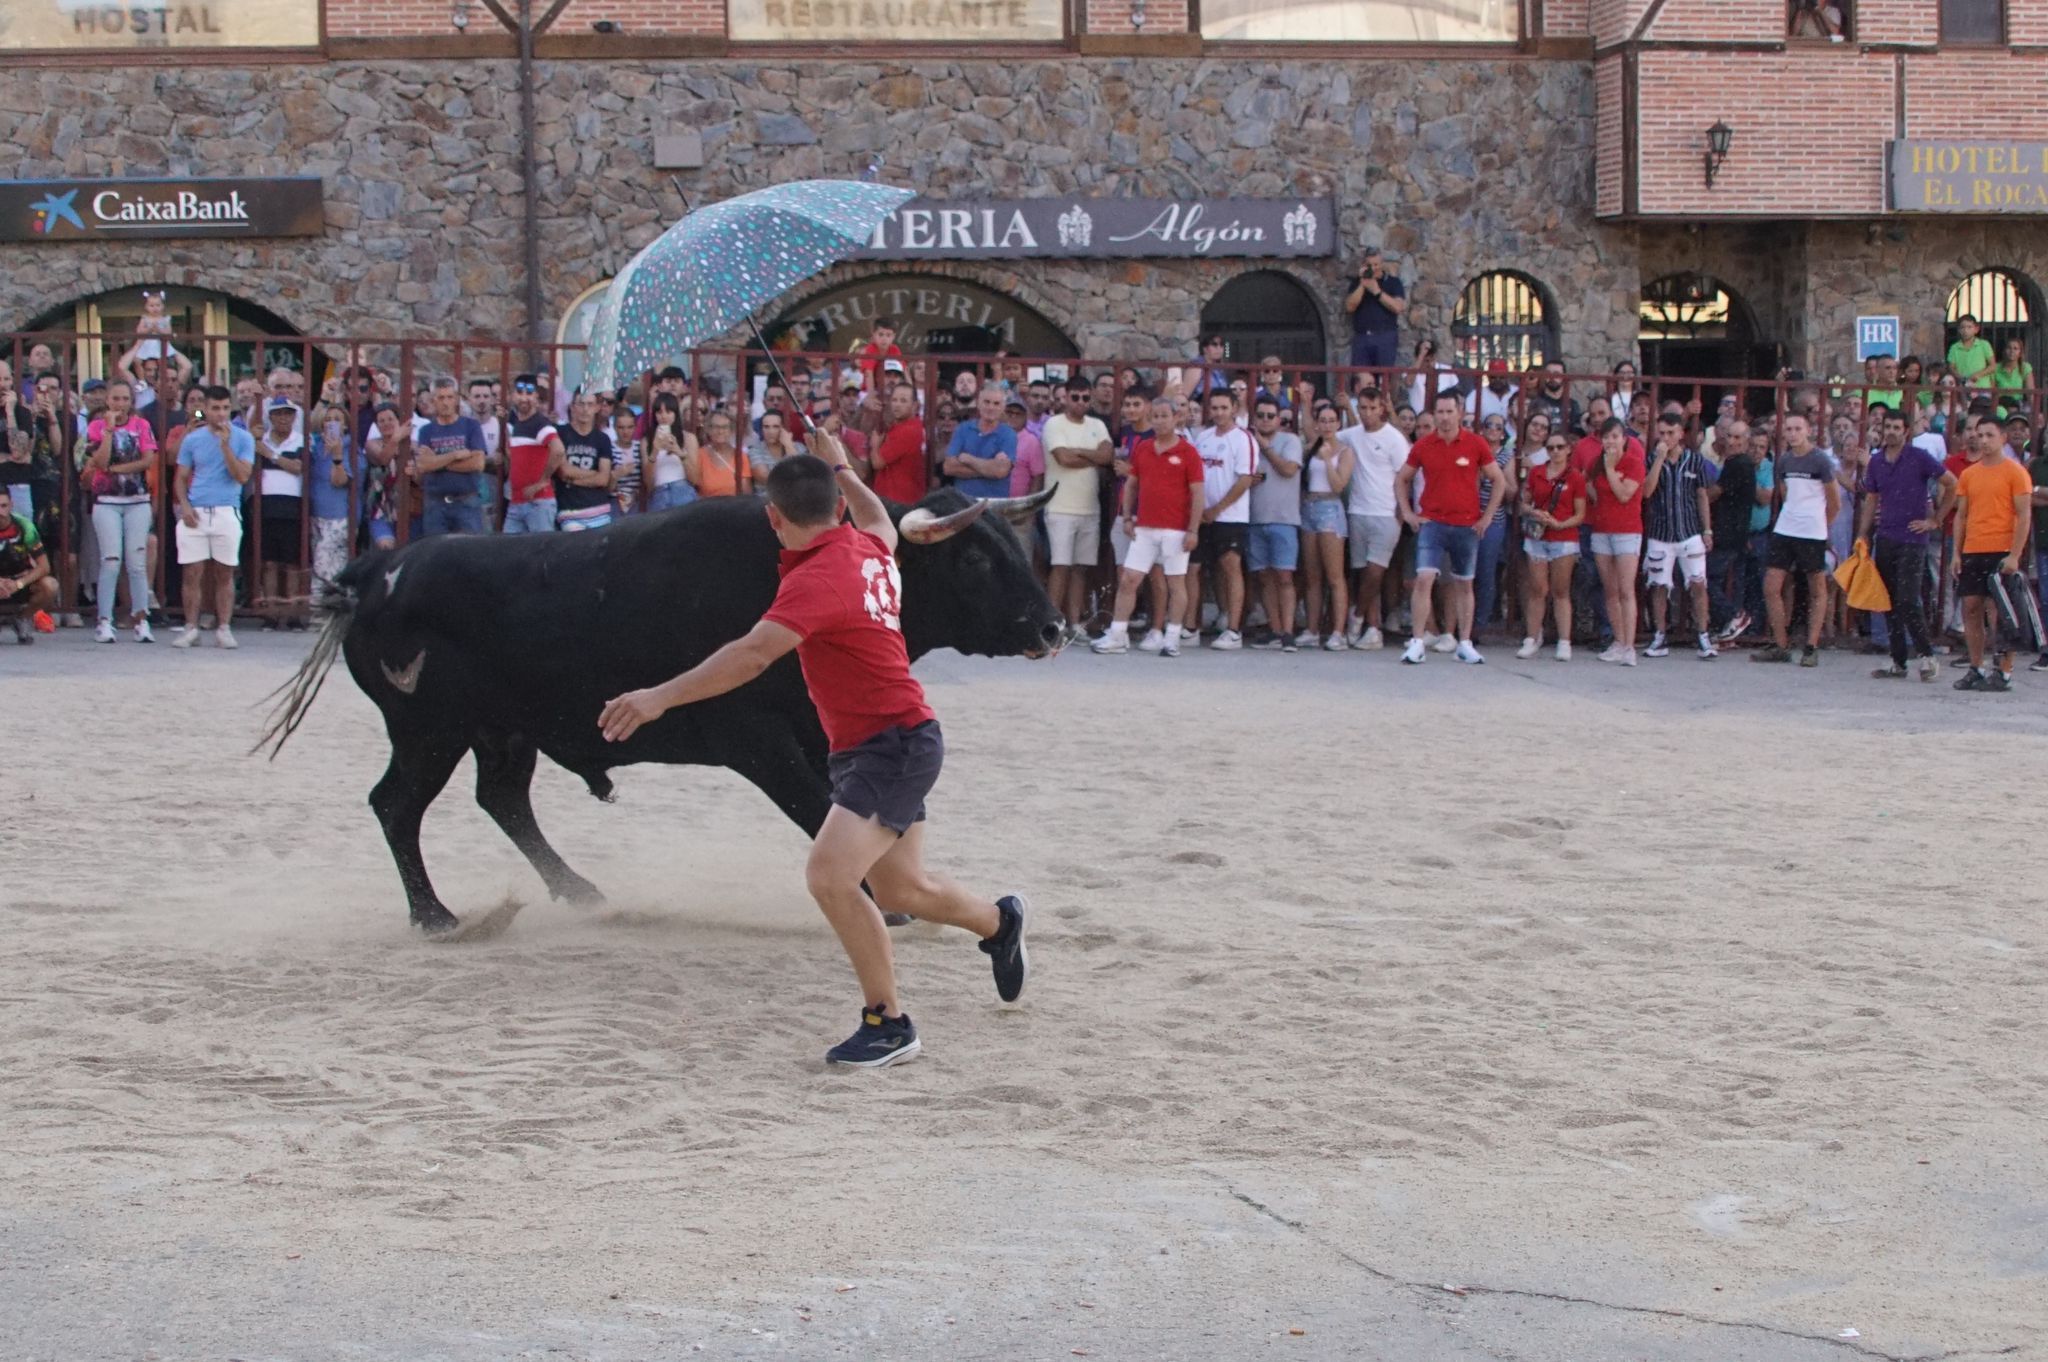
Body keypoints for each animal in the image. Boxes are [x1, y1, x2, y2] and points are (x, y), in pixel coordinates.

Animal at [264, 483, 1064, 929]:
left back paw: (582, 895)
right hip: (428, 731)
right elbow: (815, 813)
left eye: (1013, 544)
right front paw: (885, 903)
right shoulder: (761, 744)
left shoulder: (819, 738)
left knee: (502, 800)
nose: (1055, 627)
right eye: (973, 558)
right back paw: (435, 918)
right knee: (398, 805)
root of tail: (378, 569)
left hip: (502, 732)